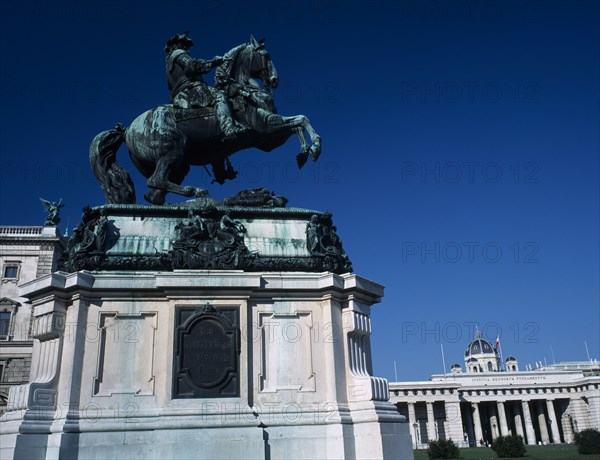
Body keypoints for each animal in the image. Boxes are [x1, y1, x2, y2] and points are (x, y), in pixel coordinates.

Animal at [89, 36, 322, 206]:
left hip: (179, 165)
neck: (246, 90)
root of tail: (128, 129)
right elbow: (301, 119)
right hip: (174, 151)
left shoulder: (269, 138)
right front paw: (315, 148)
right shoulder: (265, 130)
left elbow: (298, 123)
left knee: (154, 193)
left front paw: (305, 152)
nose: (274, 80)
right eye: (265, 55)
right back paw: (199, 193)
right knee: (156, 181)